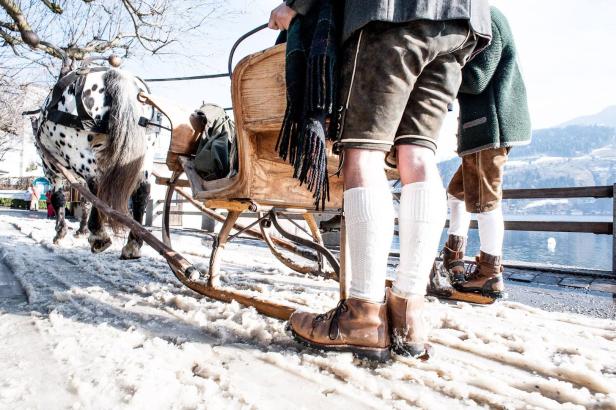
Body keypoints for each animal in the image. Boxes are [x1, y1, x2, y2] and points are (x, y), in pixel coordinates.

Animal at [34, 67, 156, 260]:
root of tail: (115, 75)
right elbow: (85, 200)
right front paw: (81, 230)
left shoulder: (51, 169)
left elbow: (59, 198)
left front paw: (61, 232)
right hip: (144, 153)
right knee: (141, 192)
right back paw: (133, 244)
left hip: (80, 154)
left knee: (97, 183)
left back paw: (99, 235)